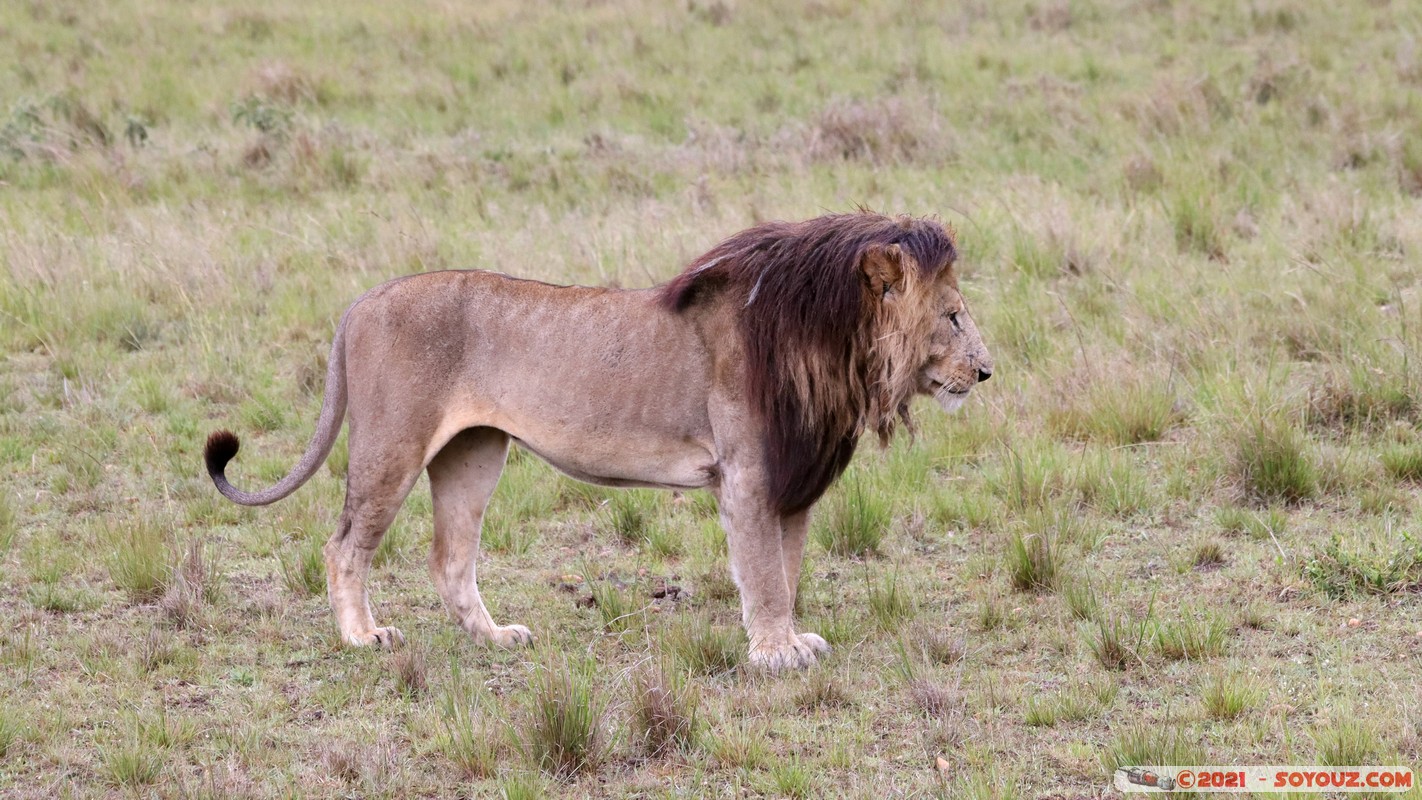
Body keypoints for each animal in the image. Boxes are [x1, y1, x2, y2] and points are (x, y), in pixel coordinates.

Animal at [206, 211, 995, 670]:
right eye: (954, 316)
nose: (986, 371)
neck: (837, 351)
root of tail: (359, 303)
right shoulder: (748, 476)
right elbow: (766, 574)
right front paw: (774, 651)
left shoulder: (790, 479)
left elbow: (787, 567)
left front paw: (789, 639)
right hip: (393, 445)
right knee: (343, 546)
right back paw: (363, 638)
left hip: (474, 452)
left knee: (450, 559)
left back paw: (494, 639)